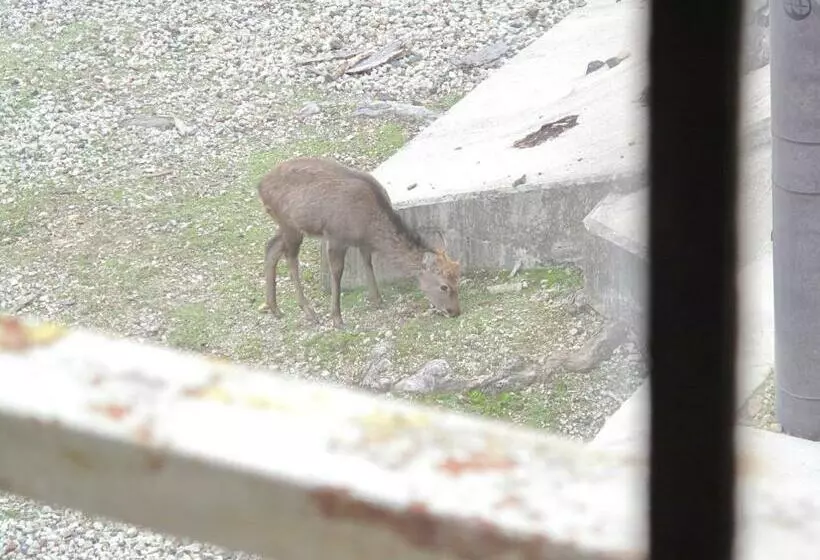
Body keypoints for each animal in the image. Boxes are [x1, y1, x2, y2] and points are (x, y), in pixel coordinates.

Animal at [256, 156, 462, 329]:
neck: (368, 225)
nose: (455, 312)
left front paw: (377, 300)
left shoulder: (363, 243)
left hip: (285, 226)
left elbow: (368, 264)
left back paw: (274, 308)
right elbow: (337, 273)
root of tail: (260, 186)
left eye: (457, 280)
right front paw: (337, 318)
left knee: (271, 247)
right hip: (290, 224)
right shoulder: (336, 236)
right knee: (290, 259)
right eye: (444, 286)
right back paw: (309, 312)